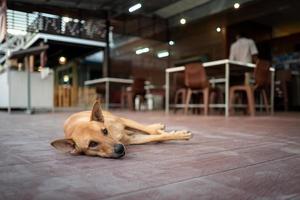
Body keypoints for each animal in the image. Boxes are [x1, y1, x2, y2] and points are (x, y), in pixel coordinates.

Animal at [51, 101, 192, 159]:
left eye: (104, 131)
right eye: (92, 144)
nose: (120, 148)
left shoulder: (124, 122)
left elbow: (154, 133)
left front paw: (179, 134)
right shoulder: (132, 139)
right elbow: (155, 136)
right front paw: (175, 134)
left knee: (146, 128)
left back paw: (158, 126)